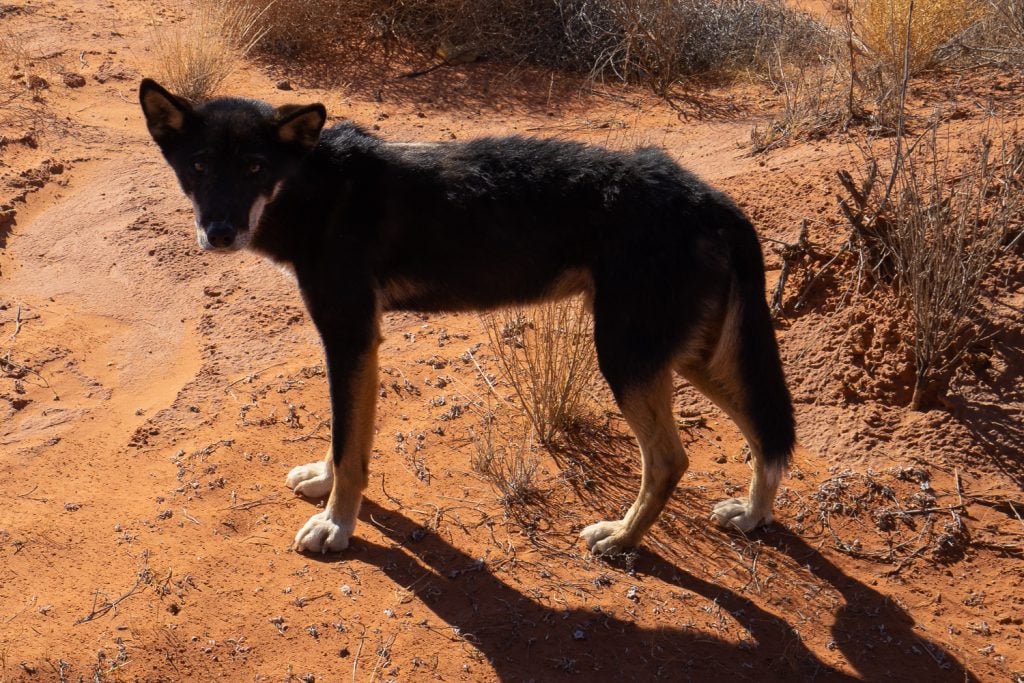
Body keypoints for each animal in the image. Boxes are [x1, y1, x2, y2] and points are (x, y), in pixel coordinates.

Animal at [138, 78, 790, 557]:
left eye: (254, 168)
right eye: (199, 167)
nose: (220, 232)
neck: (317, 187)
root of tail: (707, 196)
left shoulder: (350, 337)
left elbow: (350, 447)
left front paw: (336, 526)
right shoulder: (354, 344)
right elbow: (345, 438)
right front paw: (324, 485)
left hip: (628, 358)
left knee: (671, 460)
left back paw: (621, 538)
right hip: (687, 360)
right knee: (768, 433)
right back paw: (752, 516)